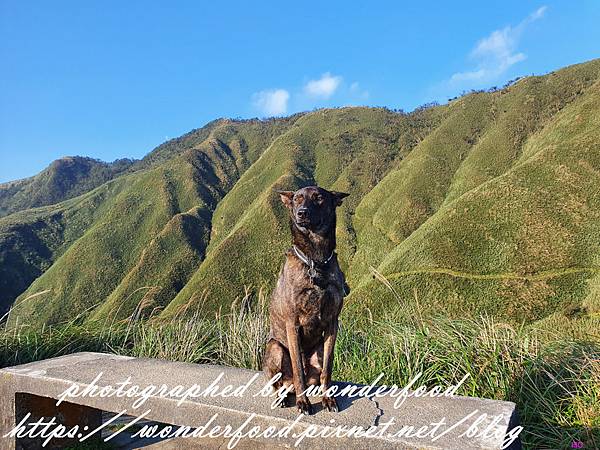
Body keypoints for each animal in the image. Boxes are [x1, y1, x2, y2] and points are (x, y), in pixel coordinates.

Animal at [264, 185, 352, 414]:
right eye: (297, 199)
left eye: (319, 198)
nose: (301, 213)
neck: (316, 261)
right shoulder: (292, 325)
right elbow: (298, 371)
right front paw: (303, 403)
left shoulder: (332, 323)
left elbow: (327, 369)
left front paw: (328, 399)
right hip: (275, 348)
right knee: (281, 383)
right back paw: (283, 397)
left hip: (318, 349)